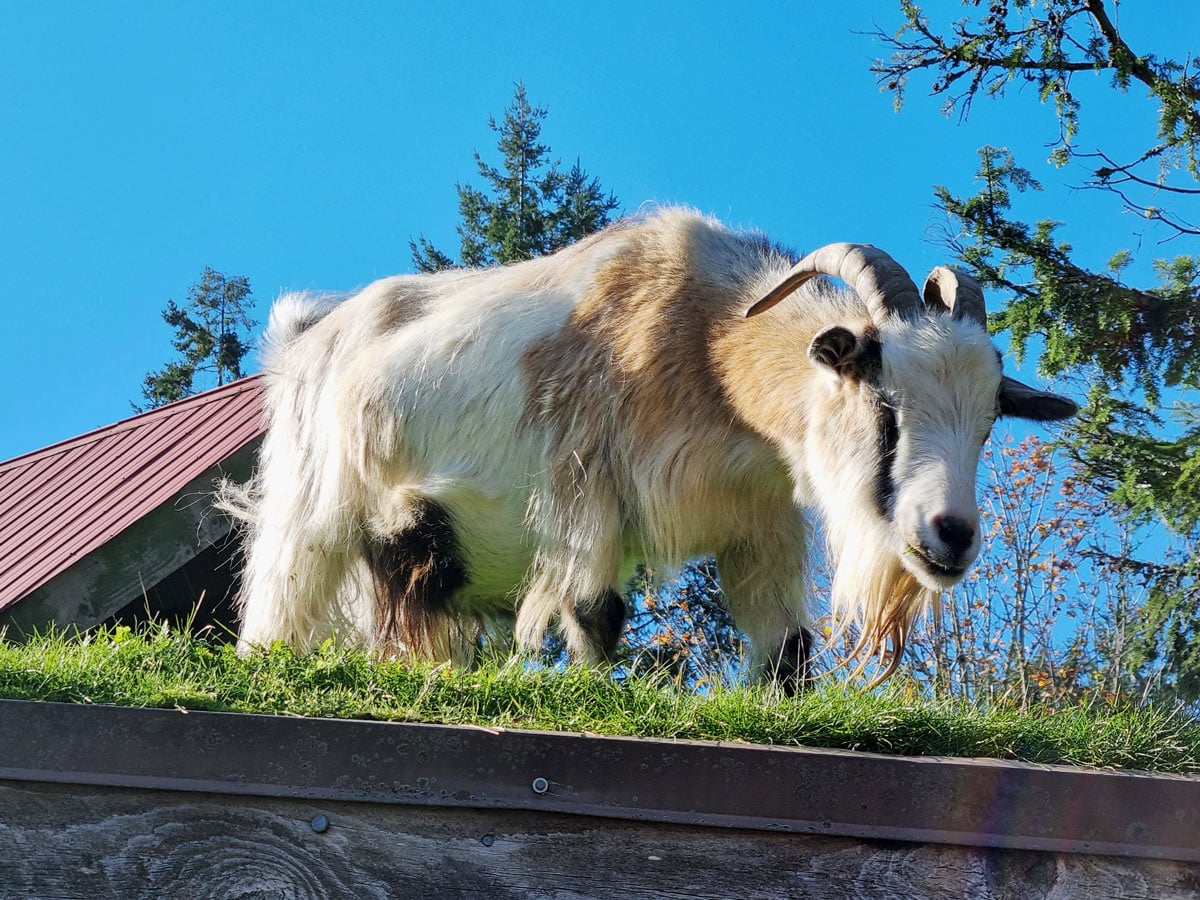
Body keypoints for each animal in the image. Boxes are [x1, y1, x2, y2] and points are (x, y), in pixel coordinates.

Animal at [220, 209, 1076, 687]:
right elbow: (597, 614)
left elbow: (788, 651)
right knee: (276, 613)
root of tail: (305, 339)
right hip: (310, 521)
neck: (705, 340)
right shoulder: (586, 487)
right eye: (883, 400)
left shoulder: (759, 520)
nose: (951, 536)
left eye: (989, 423)